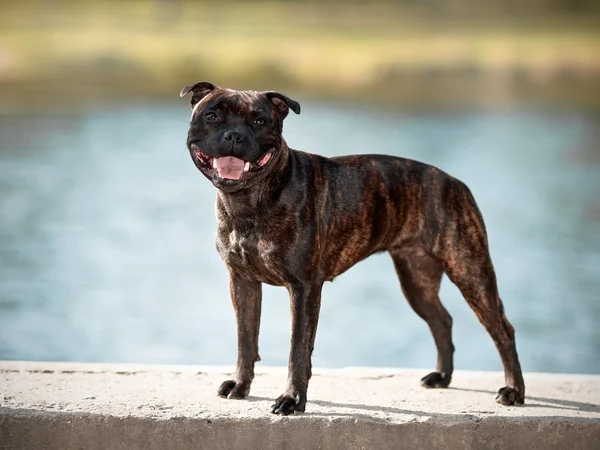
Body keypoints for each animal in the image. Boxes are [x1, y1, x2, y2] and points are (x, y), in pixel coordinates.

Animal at [179, 81, 524, 414]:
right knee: (442, 321)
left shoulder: (303, 288)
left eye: (260, 121)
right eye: (211, 115)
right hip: (417, 281)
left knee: (502, 330)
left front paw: (291, 399)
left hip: (470, 272)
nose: (234, 135)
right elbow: (246, 340)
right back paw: (442, 377)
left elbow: (297, 348)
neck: (249, 201)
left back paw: (513, 391)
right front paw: (241, 386)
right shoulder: (243, 282)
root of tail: (455, 182)